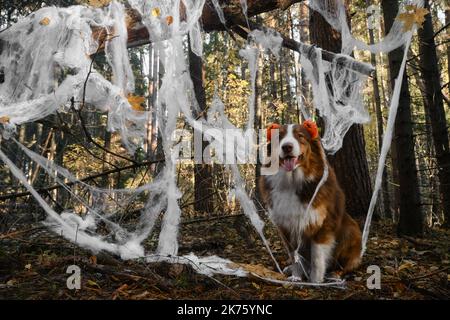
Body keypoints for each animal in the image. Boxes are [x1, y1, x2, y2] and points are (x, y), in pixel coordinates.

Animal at [258, 120, 360, 282]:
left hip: (351, 231)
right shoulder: (287, 226)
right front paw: (296, 277)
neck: (292, 181)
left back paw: (335, 274)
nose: (287, 147)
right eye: (279, 137)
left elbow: (317, 258)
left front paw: (315, 281)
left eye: (300, 136)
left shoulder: (322, 224)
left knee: (348, 264)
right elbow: (294, 255)